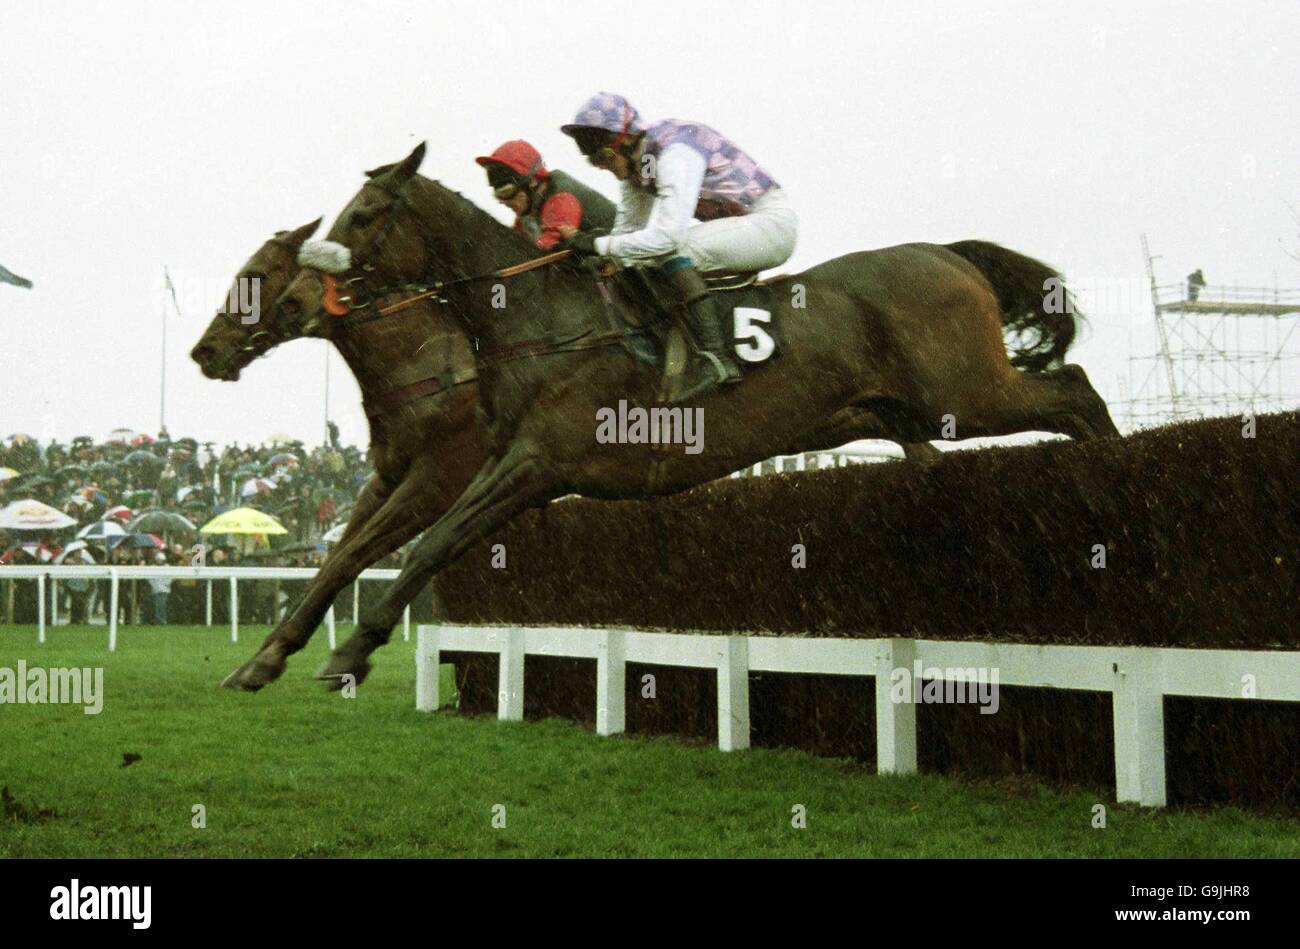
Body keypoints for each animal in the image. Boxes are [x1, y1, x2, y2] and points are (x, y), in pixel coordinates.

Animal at [193, 219, 491, 686]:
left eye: (255, 275)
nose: (204, 350)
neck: (433, 367)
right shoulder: (386, 478)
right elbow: (335, 558)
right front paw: (267, 654)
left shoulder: (441, 478)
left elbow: (351, 556)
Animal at [226, 142, 1118, 686]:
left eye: (367, 213)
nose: (302, 292)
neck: (541, 320)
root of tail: (948, 253)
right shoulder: (497, 466)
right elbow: (365, 551)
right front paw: (263, 661)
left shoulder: (534, 462)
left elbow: (428, 547)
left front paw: (348, 652)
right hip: (908, 415)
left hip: (963, 396)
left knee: (1076, 389)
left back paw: (1115, 477)